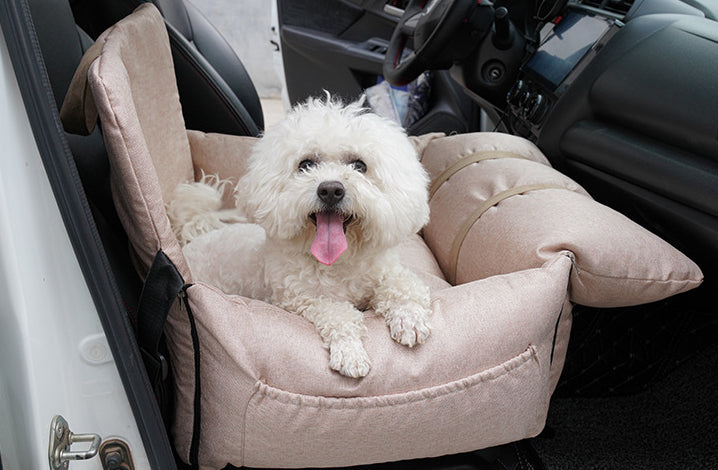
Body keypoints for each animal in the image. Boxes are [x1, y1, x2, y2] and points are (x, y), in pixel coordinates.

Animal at [169, 96, 434, 378]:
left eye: (359, 165)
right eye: (305, 165)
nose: (331, 190)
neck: (339, 263)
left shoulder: (386, 272)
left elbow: (404, 285)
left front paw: (409, 318)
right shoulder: (298, 299)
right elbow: (336, 312)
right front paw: (349, 351)